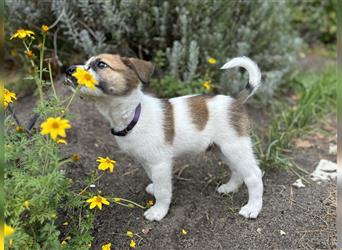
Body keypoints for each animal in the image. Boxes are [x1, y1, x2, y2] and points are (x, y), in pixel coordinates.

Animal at [65, 54, 264, 221]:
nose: (69, 69)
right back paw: (230, 188)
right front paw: (153, 188)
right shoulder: (146, 161)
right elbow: (154, 179)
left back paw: (252, 208)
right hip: (222, 149)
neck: (134, 114)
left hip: (235, 146)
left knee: (254, 175)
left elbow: (163, 190)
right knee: (238, 170)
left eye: (101, 64)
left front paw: (158, 211)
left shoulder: (160, 162)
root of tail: (236, 101)